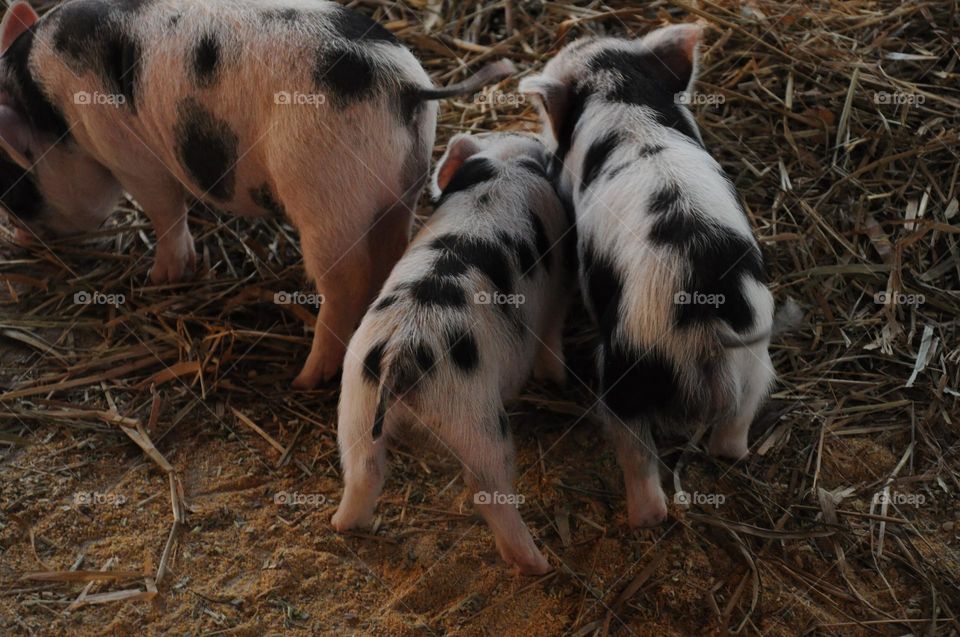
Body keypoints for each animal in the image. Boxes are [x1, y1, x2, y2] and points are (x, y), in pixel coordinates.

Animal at [0, 0, 514, 388]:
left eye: (15, 189)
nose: (18, 239)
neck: (50, 107)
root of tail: (405, 86)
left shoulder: (129, 155)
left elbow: (165, 211)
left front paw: (160, 279)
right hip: (402, 183)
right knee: (390, 253)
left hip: (325, 194)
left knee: (345, 283)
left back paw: (305, 378)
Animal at [331, 132, 573, 575]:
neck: (504, 165)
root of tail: (402, 353)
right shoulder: (560, 283)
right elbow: (552, 333)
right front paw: (557, 379)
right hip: (477, 417)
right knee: (487, 486)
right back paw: (539, 564)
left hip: (355, 402)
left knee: (362, 470)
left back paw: (343, 524)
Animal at [519, 26, 797, 527]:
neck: (620, 94)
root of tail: (703, 328)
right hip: (756, 368)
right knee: (732, 437)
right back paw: (732, 455)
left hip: (622, 376)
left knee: (638, 457)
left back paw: (641, 517)